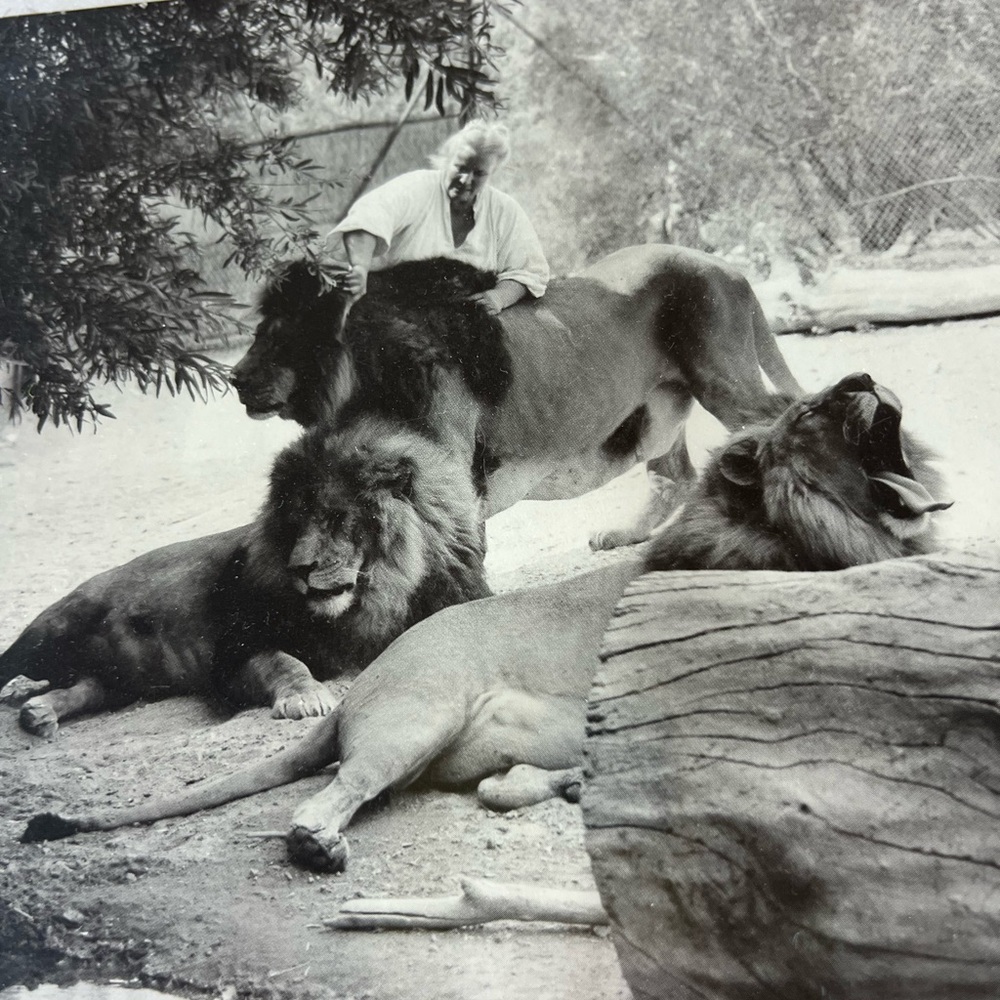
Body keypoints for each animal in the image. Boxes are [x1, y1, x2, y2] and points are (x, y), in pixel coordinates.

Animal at [0, 415, 489, 737]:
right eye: (293, 523)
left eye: (336, 517)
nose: (299, 568)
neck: (379, 593)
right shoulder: (233, 650)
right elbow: (283, 661)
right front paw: (304, 697)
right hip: (49, 630)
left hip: (120, 680)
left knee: (87, 686)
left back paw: (40, 712)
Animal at [229, 244, 804, 547]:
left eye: (278, 333)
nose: (234, 378)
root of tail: (721, 264)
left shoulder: (457, 472)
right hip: (661, 406)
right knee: (674, 474)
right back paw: (626, 536)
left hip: (720, 376)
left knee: (776, 417)